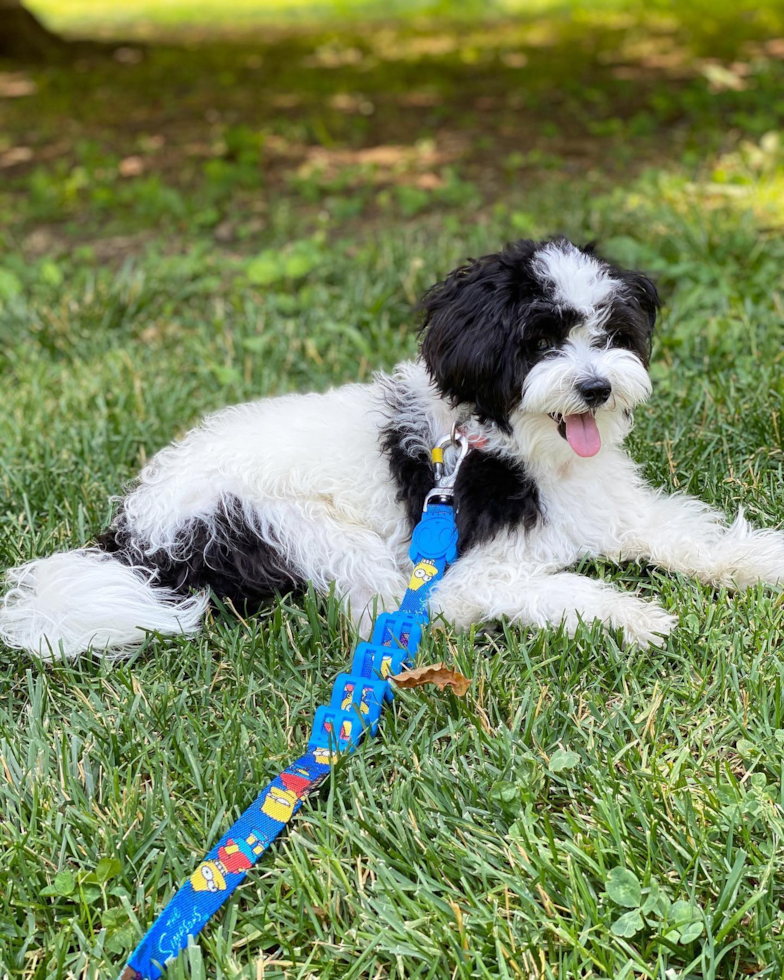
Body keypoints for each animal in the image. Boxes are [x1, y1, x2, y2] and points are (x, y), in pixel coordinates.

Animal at [1, 236, 784, 660]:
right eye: (539, 341)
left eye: (610, 331)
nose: (595, 387)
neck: (506, 443)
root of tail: (135, 531)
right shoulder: (461, 570)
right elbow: (550, 587)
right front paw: (631, 616)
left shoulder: (614, 509)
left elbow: (695, 537)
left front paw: (764, 560)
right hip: (287, 523)